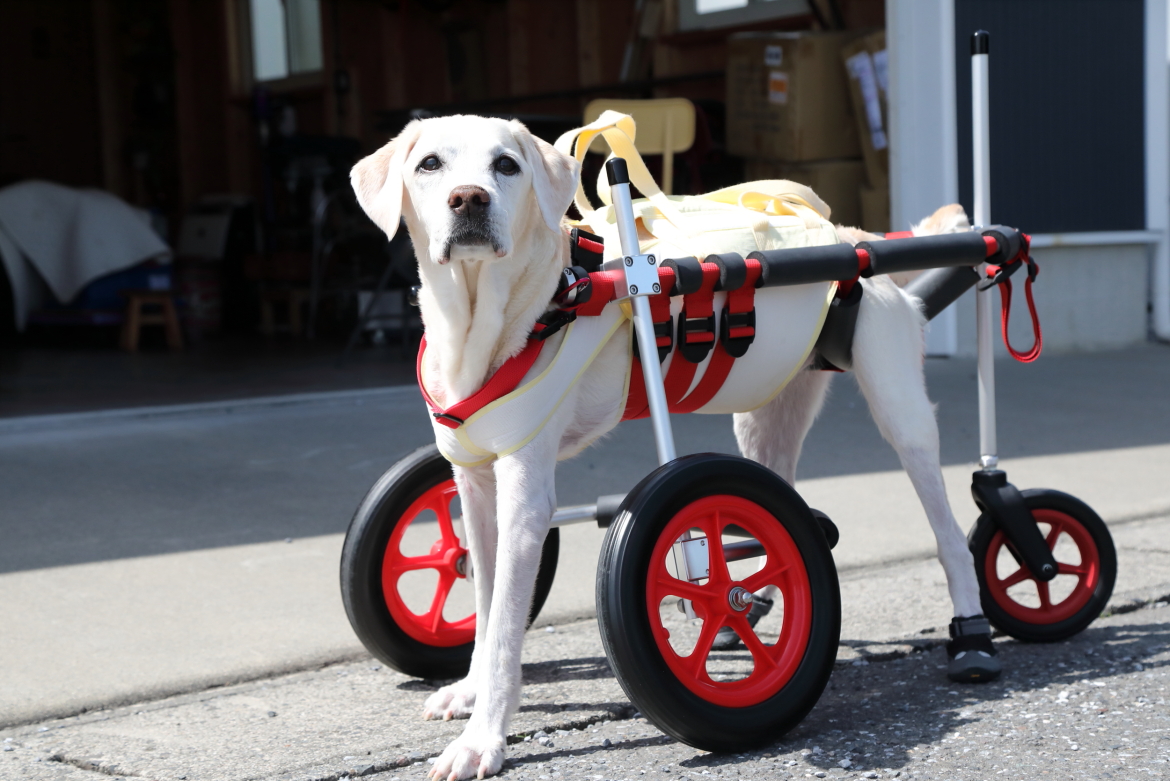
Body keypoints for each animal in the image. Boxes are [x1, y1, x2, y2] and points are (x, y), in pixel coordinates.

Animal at [351, 115, 982, 781]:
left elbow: (502, 631)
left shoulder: (524, 499)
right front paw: (470, 692)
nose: (468, 199)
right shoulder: (475, 488)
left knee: (947, 535)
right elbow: (485, 597)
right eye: (429, 164)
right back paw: (753, 607)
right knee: (777, 504)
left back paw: (972, 633)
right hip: (765, 415)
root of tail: (856, 237)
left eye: (506, 165)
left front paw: (482, 741)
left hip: (901, 412)